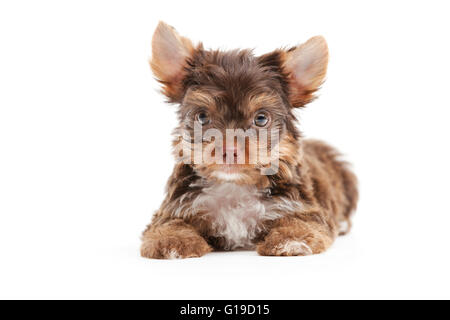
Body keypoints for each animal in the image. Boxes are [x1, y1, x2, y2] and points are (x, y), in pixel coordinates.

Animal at [141, 21, 358, 258]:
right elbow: (168, 224)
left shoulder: (303, 207)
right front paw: (172, 241)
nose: (229, 149)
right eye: (202, 117)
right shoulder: (175, 208)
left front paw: (290, 239)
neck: (234, 185)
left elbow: (301, 223)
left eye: (261, 118)